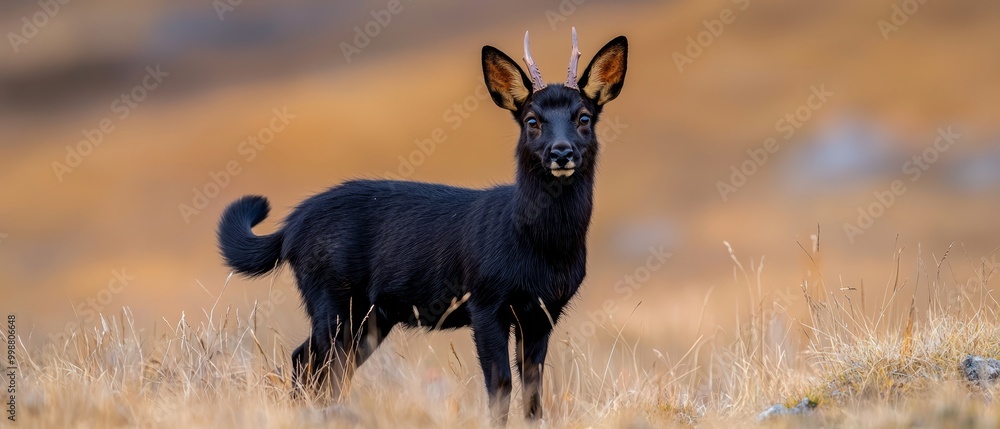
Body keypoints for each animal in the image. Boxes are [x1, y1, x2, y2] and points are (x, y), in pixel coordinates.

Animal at [218, 28, 624, 422]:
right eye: (532, 120)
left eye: (584, 117)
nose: (561, 152)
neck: (540, 249)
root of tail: (291, 226)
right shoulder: (485, 300)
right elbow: (499, 385)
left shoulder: (543, 312)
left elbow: (533, 391)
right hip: (331, 295)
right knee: (308, 360)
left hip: (370, 317)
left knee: (328, 368)